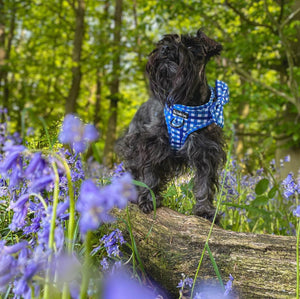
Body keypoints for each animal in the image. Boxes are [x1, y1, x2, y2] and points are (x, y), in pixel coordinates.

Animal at [116, 29, 229, 223]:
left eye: (191, 46)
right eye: (164, 41)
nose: (166, 49)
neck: (187, 105)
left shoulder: (207, 152)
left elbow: (205, 184)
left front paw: (205, 211)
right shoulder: (150, 144)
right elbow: (148, 173)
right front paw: (148, 200)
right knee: (133, 170)